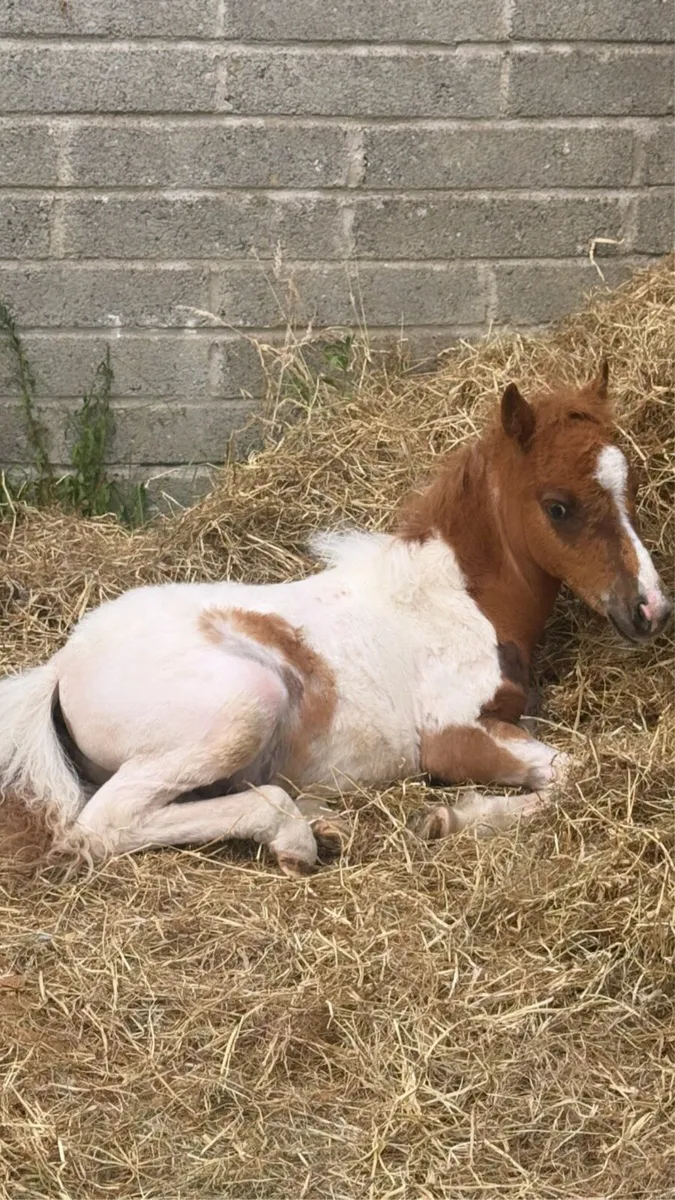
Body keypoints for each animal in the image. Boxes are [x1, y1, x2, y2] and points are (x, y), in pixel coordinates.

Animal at [0, 362, 670, 874]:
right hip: (245, 703)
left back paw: (324, 824)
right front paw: (447, 816)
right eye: (558, 506)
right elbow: (577, 773)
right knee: (103, 823)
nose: (651, 610)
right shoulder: (452, 736)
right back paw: (294, 836)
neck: (456, 599)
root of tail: (60, 668)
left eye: (630, 487)